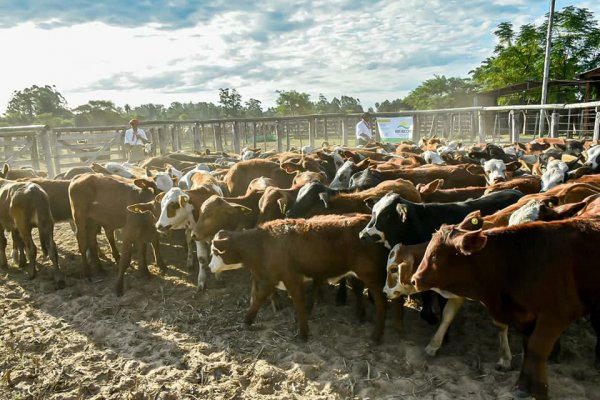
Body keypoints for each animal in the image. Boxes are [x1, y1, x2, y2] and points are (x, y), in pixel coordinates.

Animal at [412, 220, 600, 398]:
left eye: (435, 256)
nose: (415, 279)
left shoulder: (556, 314)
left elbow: (536, 348)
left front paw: (538, 390)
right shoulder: (525, 316)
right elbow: (528, 348)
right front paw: (522, 387)